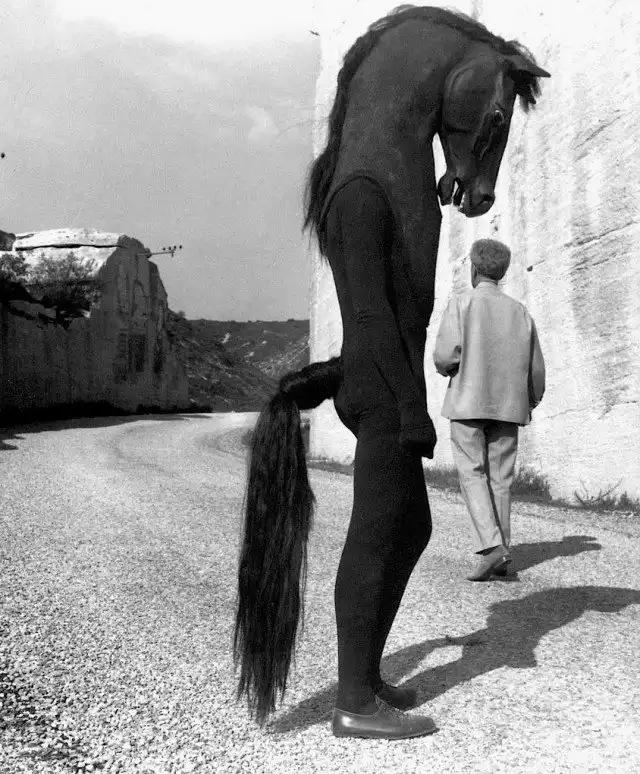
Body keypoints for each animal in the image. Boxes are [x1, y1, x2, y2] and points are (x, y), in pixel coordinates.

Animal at [234, 5, 550, 735]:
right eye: (498, 116)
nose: (479, 199)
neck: (382, 155)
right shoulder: (358, 212)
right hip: (380, 435)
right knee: (381, 538)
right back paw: (359, 715)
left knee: (405, 542)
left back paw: (384, 692)